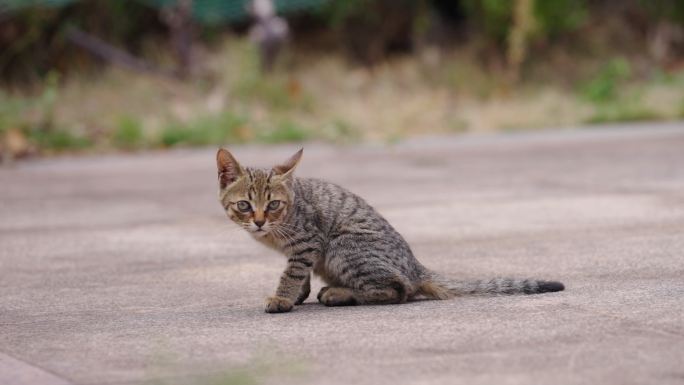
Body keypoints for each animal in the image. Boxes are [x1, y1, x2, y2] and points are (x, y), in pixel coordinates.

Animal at [216, 147, 564, 312]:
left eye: (273, 204)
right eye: (245, 205)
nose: (259, 220)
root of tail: (415, 267)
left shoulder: (308, 242)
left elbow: (292, 272)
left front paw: (282, 299)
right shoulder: (305, 251)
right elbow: (299, 274)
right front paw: (297, 295)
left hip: (343, 246)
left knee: (398, 290)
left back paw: (340, 293)